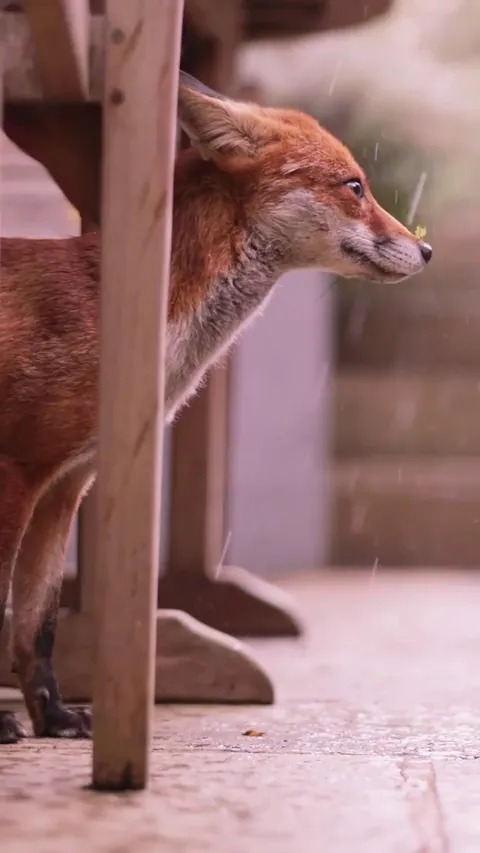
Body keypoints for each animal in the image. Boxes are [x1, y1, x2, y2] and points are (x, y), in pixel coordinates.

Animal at [0, 71, 432, 744]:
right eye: (354, 185)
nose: (428, 250)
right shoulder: (18, 472)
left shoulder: (64, 486)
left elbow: (38, 622)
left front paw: (55, 717)